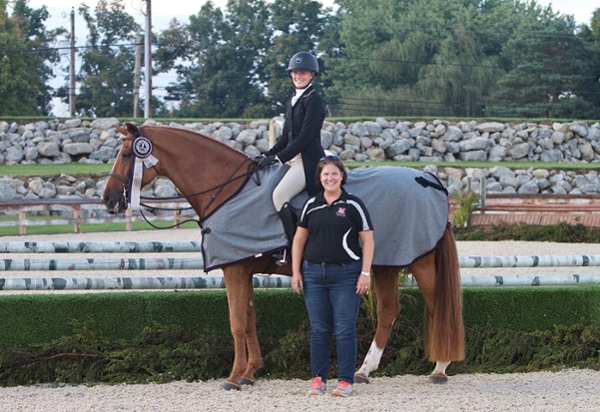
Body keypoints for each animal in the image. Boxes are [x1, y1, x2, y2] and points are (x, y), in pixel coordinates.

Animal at [102, 122, 464, 390]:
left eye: (126, 153)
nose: (108, 200)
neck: (229, 192)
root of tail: (429, 179)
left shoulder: (234, 269)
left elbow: (236, 322)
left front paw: (233, 377)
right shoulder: (243, 269)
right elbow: (249, 320)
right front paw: (250, 372)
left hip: (419, 261)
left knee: (436, 304)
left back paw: (439, 367)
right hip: (386, 263)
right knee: (389, 310)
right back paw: (364, 370)